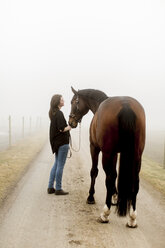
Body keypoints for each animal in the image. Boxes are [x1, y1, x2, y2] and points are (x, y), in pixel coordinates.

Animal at [69, 85, 145, 227]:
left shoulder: (95, 148)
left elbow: (95, 172)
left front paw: (91, 197)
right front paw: (115, 197)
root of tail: (125, 105)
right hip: (137, 155)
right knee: (135, 181)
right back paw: (132, 218)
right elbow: (115, 174)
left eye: (73, 102)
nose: (70, 122)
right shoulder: (115, 153)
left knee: (108, 179)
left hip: (107, 153)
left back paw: (105, 214)